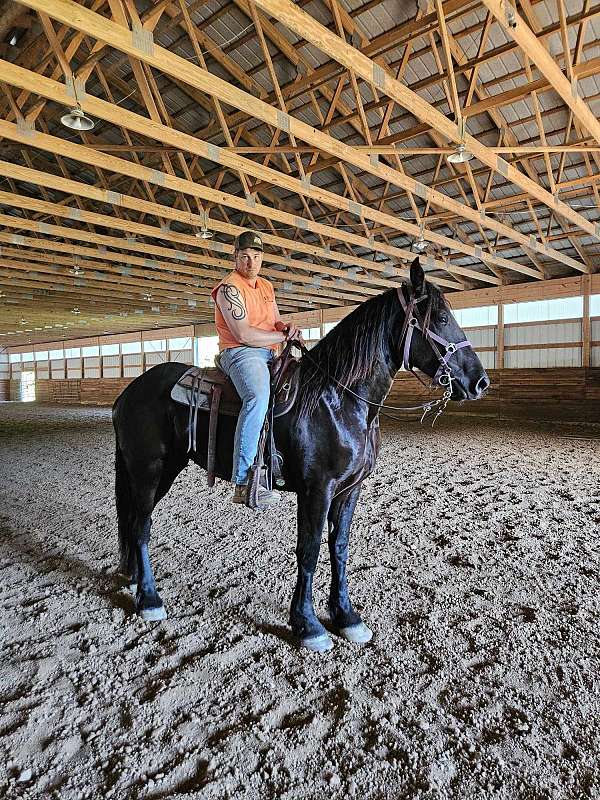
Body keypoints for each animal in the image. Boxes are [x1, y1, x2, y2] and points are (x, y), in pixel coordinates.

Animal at [112, 260, 488, 652]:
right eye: (441, 318)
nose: (479, 381)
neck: (337, 398)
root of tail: (130, 391)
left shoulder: (349, 489)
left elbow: (339, 548)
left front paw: (347, 617)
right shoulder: (316, 489)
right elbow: (308, 551)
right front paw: (308, 625)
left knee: (134, 523)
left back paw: (135, 581)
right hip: (150, 469)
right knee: (141, 526)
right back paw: (149, 599)